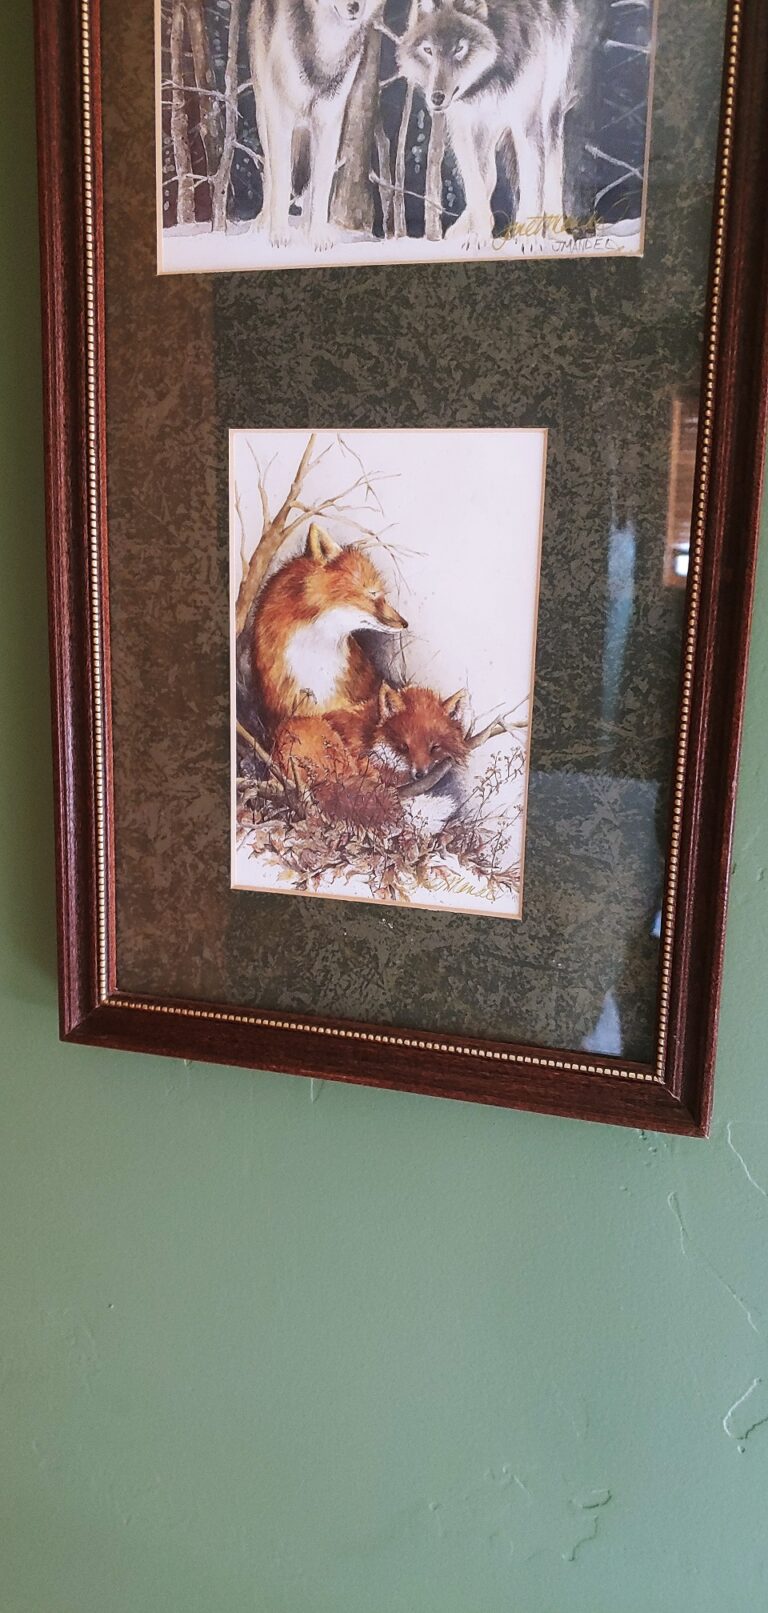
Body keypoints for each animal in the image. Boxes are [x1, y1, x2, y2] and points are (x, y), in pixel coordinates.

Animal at [248, 0, 383, 248]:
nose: (354, 7)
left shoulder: (329, 122)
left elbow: (321, 185)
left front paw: (318, 237)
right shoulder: (281, 117)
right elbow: (282, 180)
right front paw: (279, 235)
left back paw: (304, 227)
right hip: (263, 114)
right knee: (270, 171)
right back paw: (263, 223)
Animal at [397, 0, 581, 244]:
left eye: (459, 49)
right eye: (428, 50)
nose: (436, 97)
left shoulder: (526, 117)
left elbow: (532, 180)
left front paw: (528, 240)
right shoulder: (466, 123)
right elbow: (477, 181)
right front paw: (479, 236)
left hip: (549, 107)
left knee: (551, 168)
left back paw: (556, 233)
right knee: (489, 173)